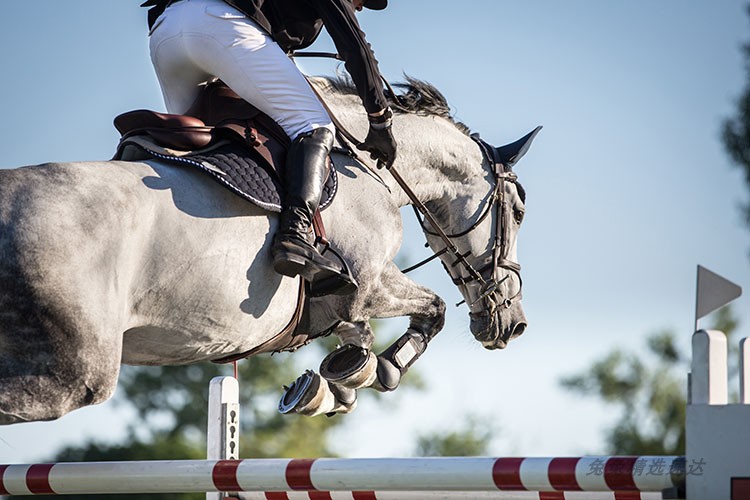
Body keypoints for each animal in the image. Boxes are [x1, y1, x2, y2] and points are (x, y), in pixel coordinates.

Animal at [0, 77, 540, 422]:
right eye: (518, 212)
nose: (513, 325)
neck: (365, 162)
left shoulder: (343, 301)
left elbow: (365, 333)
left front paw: (334, 384)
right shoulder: (367, 282)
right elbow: (430, 309)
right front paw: (374, 370)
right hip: (74, 372)